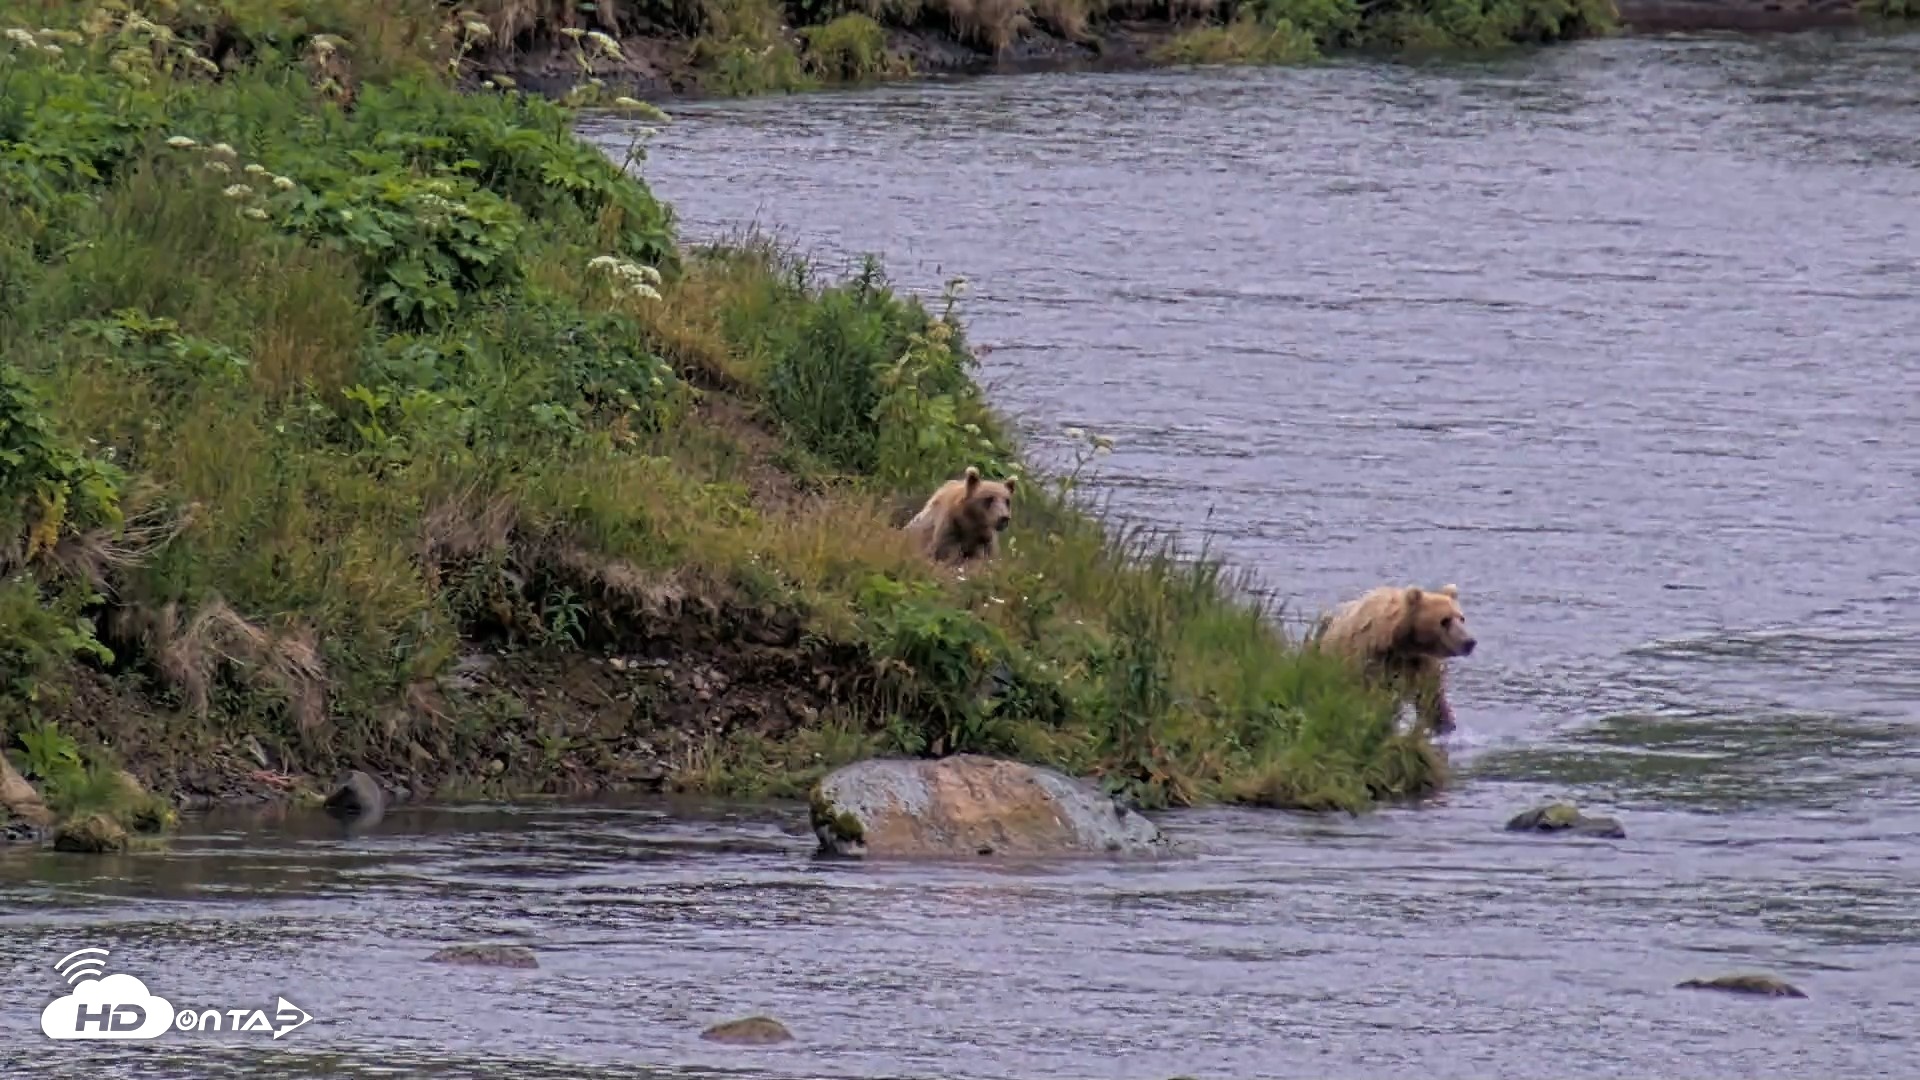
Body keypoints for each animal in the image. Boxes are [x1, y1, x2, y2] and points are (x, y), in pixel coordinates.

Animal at [1311, 583, 1476, 736]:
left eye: (1461, 618)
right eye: (1444, 620)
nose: (1469, 642)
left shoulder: (1419, 663)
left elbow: (1432, 698)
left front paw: (1444, 724)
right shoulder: (1369, 659)